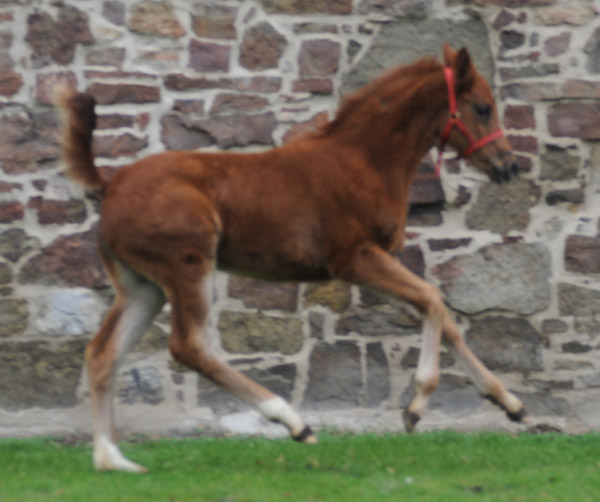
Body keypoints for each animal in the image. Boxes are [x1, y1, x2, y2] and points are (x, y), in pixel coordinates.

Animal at [56, 45, 524, 472]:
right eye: (482, 107)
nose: (509, 167)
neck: (364, 160)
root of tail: (111, 184)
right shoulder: (353, 258)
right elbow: (431, 298)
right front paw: (417, 404)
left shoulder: (377, 261)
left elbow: (440, 314)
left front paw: (509, 402)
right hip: (186, 265)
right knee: (188, 347)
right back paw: (294, 421)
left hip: (143, 286)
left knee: (103, 353)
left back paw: (111, 458)